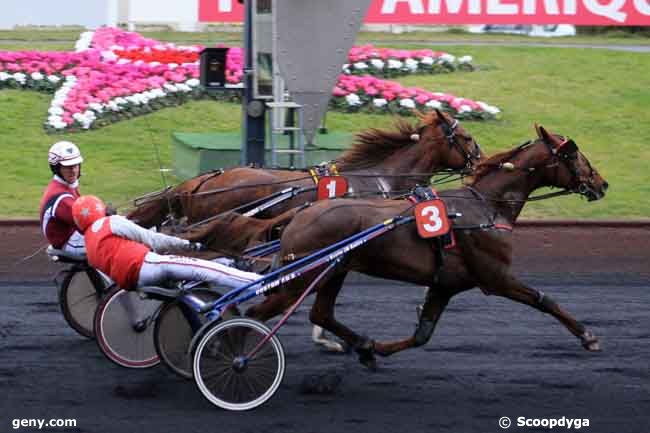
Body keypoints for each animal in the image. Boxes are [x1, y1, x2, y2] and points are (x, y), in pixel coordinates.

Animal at [247, 124, 608, 368]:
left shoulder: (444, 285)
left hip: (334, 272)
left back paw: (360, 344)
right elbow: (544, 300)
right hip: (305, 276)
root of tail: (301, 213)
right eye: (574, 153)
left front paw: (375, 348)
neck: (486, 207)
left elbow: (423, 333)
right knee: (257, 312)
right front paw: (587, 336)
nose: (601, 184)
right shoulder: (495, 278)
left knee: (320, 312)